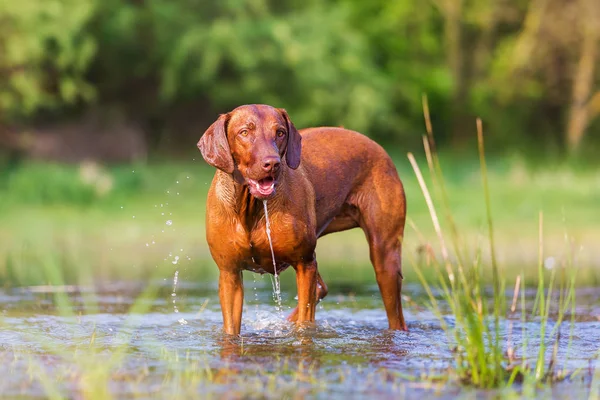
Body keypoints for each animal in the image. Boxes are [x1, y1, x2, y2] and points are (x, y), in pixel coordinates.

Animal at [197, 104, 408, 334]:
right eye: (244, 132)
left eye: (280, 133)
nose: (272, 163)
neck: (251, 208)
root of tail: (378, 146)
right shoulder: (229, 273)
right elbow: (231, 330)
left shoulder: (304, 263)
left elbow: (305, 325)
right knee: (321, 287)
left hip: (384, 256)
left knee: (395, 316)